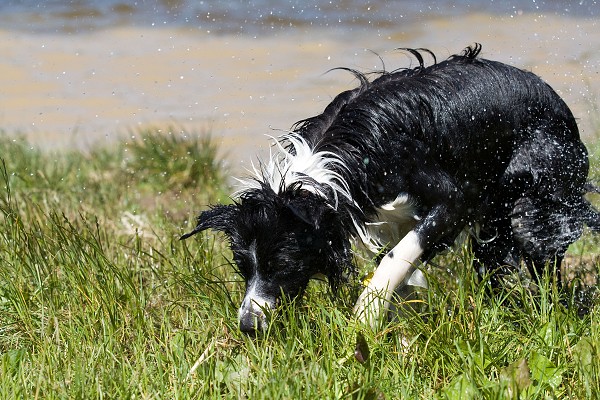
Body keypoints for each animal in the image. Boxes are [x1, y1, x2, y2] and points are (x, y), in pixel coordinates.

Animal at [183, 43, 600, 332]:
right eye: (243, 266)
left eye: (282, 263)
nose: (248, 327)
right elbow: (404, 270)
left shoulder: (456, 201)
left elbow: (397, 258)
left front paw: (365, 318)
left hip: (532, 208)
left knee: (544, 267)